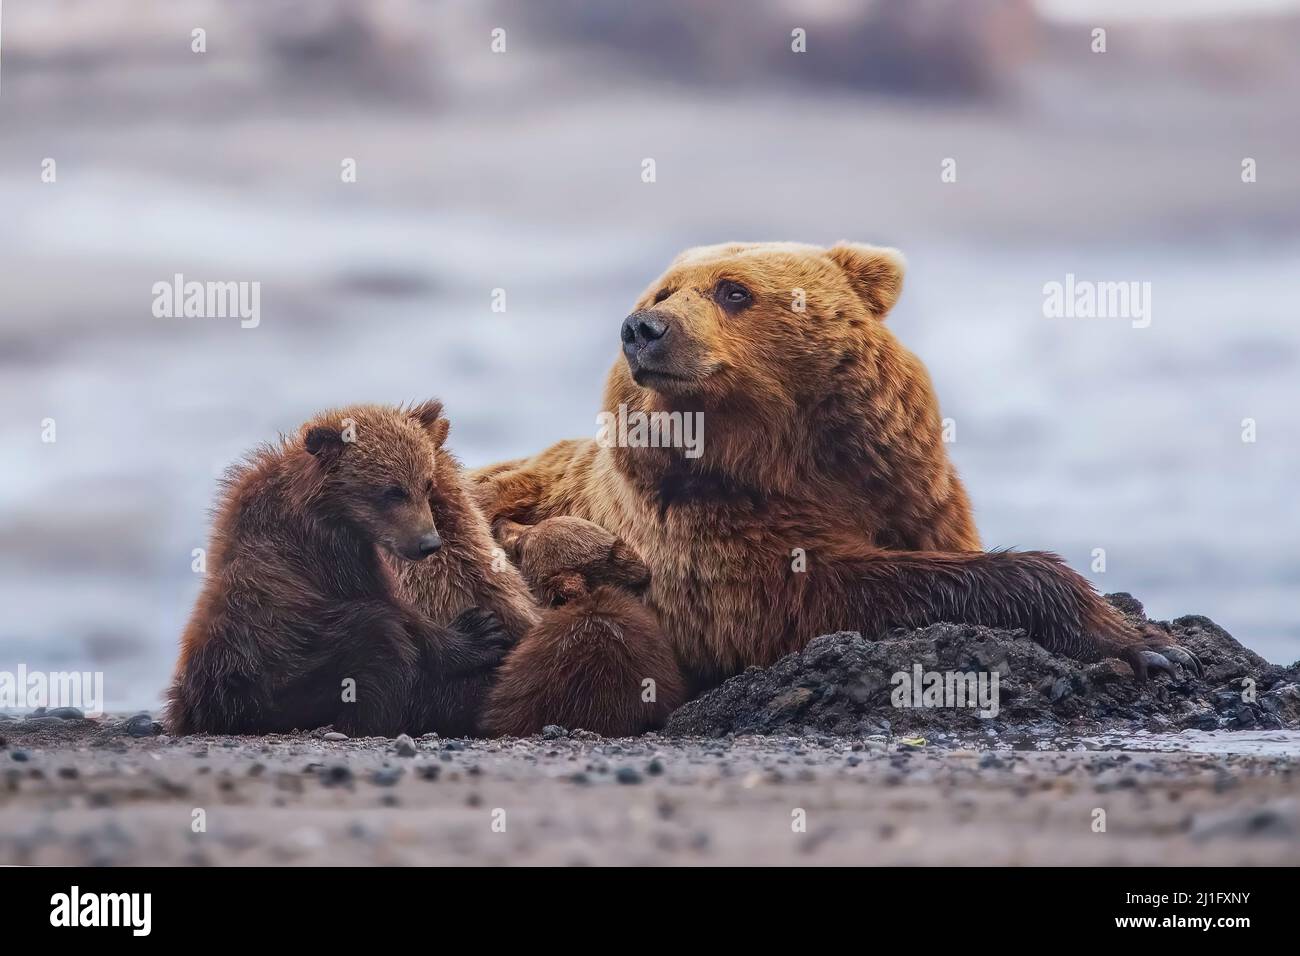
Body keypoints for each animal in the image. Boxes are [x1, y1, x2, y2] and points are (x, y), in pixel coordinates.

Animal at [470, 239, 1196, 702]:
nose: (642, 327)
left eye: (733, 290)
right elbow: (818, 592)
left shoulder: (909, 491)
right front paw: (1144, 643)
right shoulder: (705, 531)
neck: (781, 455)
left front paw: (1154, 640)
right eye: (665, 290)